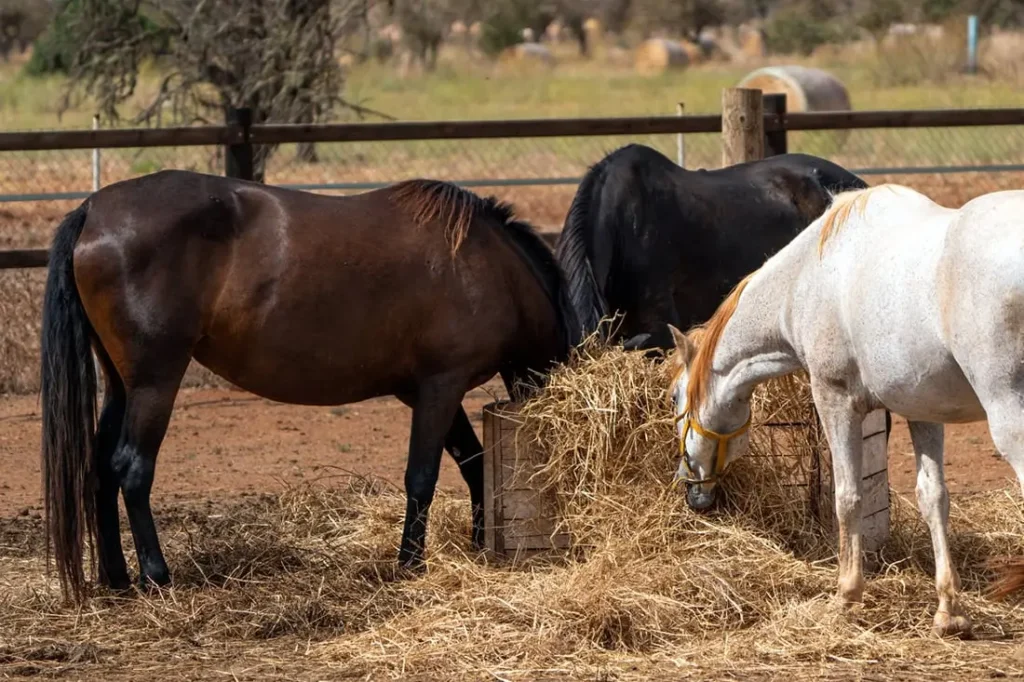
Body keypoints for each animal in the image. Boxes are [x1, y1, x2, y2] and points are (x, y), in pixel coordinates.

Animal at [39, 172, 579, 601]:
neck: (484, 264)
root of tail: (93, 210)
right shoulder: (440, 388)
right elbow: (422, 477)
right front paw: (410, 563)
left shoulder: (428, 392)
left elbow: (472, 464)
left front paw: (476, 544)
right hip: (156, 381)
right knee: (132, 468)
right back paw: (156, 575)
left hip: (121, 385)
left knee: (100, 471)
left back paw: (117, 579)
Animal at [665, 183, 1024, 639]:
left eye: (675, 397)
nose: (693, 492)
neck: (804, 279)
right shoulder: (922, 410)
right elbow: (934, 497)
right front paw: (949, 612)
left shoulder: (834, 399)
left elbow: (847, 496)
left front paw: (847, 595)